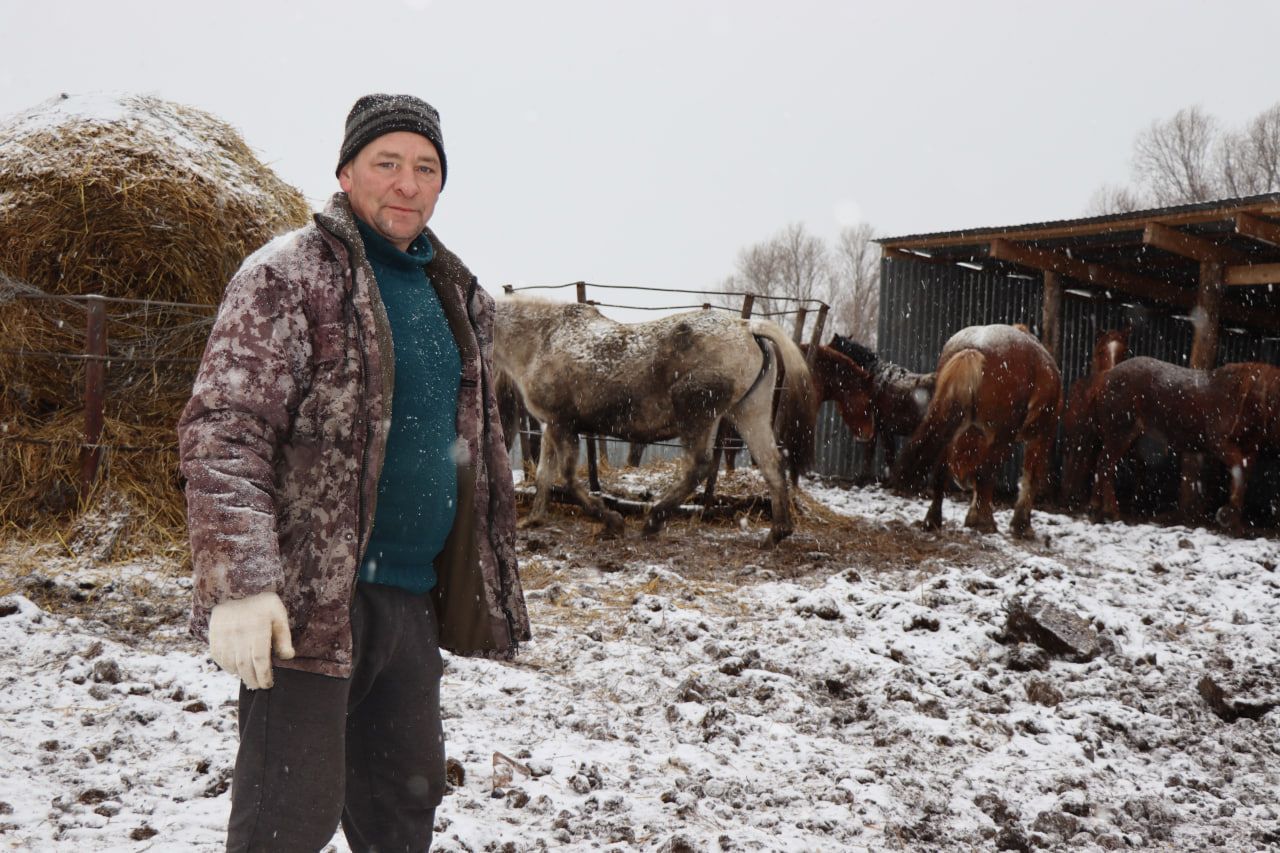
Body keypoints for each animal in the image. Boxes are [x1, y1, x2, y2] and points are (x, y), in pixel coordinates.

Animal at [494, 295, 814, 540]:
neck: (542, 340)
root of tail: (747, 327)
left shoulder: (563, 424)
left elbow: (569, 478)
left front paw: (611, 520)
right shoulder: (551, 425)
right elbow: (543, 475)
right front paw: (534, 519)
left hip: (697, 417)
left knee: (698, 468)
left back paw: (654, 520)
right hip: (749, 413)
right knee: (772, 464)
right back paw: (778, 533)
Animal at [824, 333, 936, 479]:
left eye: (830, 346)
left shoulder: (876, 426)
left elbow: (871, 454)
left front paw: (863, 477)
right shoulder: (885, 429)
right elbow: (890, 457)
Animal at [890, 322, 1059, 535]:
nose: (962, 480)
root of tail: (972, 349)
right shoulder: (1042, 435)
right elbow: (1031, 477)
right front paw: (1021, 524)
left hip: (950, 427)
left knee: (941, 471)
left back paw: (933, 519)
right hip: (1003, 436)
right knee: (985, 472)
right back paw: (984, 521)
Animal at [1085, 353, 1280, 527]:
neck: (1242, 398)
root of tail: (1106, 376)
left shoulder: (1249, 451)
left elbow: (1243, 476)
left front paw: (1233, 518)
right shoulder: (1220, 444)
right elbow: (1239, 471)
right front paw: (1226, 513)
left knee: (1102, 465)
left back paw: (1096, 509)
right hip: (1120, 435)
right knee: (1105, 466)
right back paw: (1112, 512)